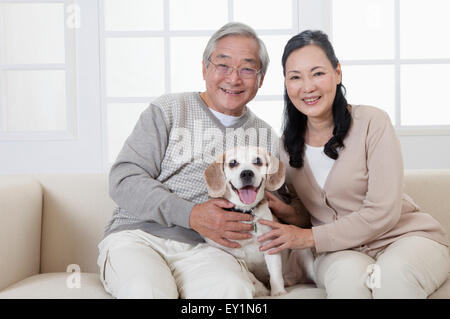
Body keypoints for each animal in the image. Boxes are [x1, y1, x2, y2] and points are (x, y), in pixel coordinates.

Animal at [202, 147, 286, 298]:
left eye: (258, 161)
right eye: (233, 163)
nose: (246, 173)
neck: (246, 211)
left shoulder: (270, 244)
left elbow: (275, 273)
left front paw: (278, 292)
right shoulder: (230, 253)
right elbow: (249, 275)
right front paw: (261, 290)